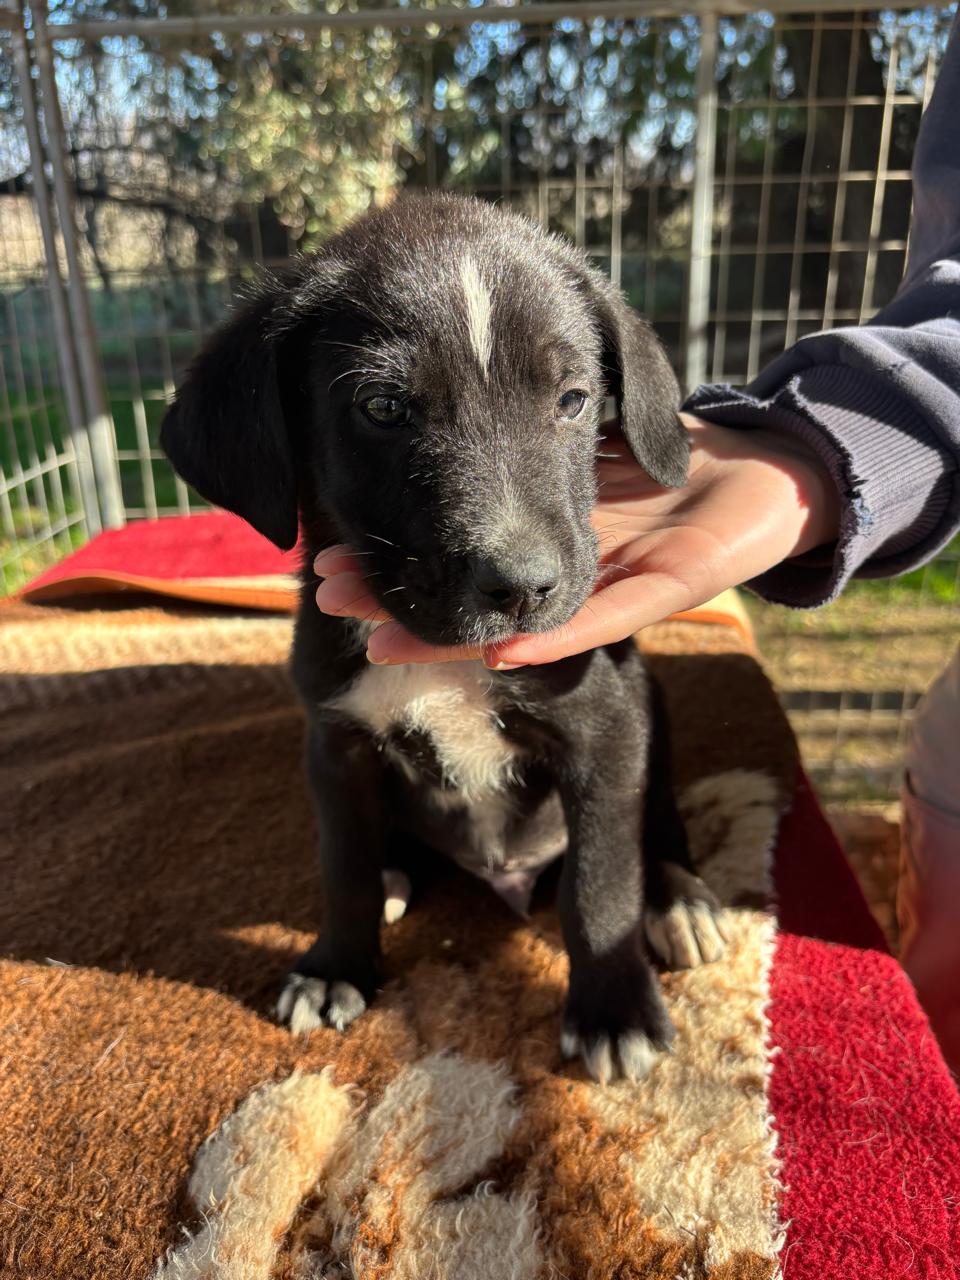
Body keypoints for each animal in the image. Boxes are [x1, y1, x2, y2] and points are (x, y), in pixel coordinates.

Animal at [160, 193, 727, 1083]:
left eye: (572, 400)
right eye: (384, 408)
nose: (523, 586)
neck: (444, 657)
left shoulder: (604, 728)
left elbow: (599, 881)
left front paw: (613, 1009)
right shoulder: (335, 742)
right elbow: (344, 867)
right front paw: (337, 967)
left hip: (650, 710)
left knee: (654, 820)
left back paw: (678, 899)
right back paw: (399, 869)